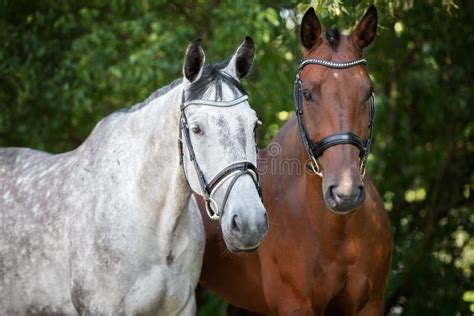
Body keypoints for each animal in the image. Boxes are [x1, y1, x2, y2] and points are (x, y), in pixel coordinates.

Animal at [196, 5, 392, 316]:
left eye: (368, 91)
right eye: (307, 93)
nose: (345, 192)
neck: (338, 233)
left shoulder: (370, 305)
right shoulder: (294, 304)